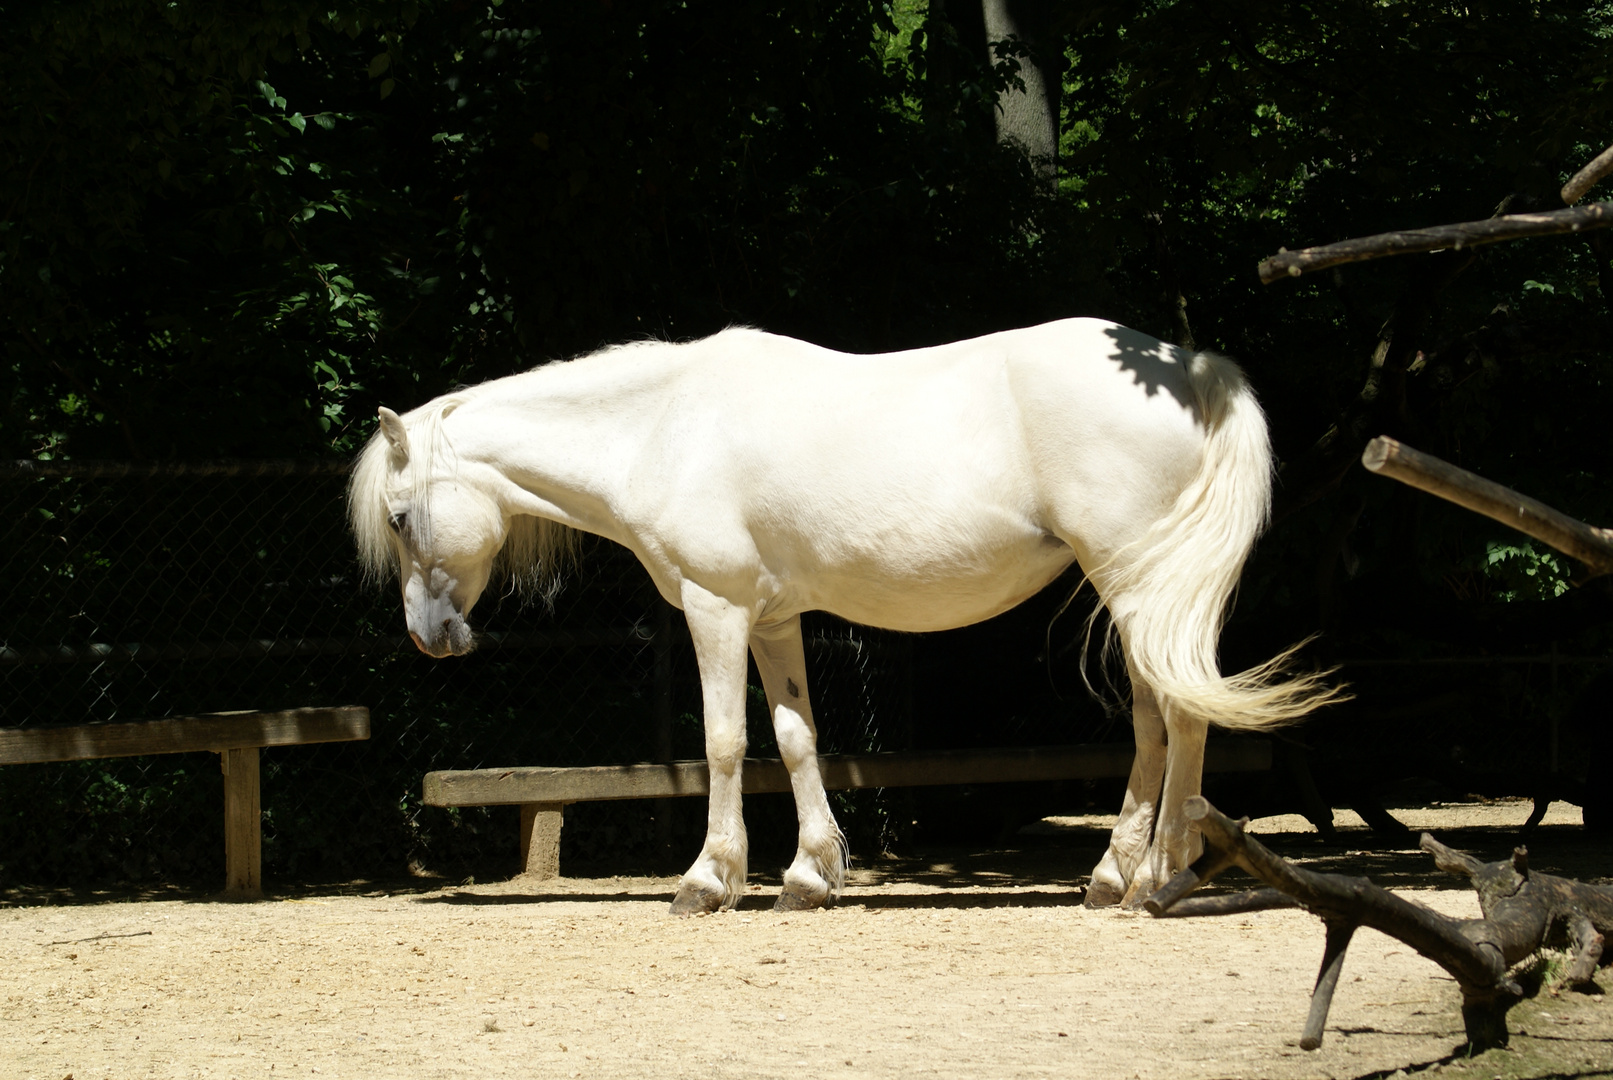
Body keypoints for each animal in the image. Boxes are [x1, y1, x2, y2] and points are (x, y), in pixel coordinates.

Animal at [350, 319, 1335, 915]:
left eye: (398, 517)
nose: (430, 638)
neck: (661, 428)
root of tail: (1187, 368)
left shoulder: (715, 608)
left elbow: (720, 742)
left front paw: (708, 880)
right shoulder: (773, 621)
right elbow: (796, 740)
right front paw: (807, 875)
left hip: (1134, 583)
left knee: (1174, 718)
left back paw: (1152, 882)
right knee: (1157, 721)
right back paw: (1118, 877)